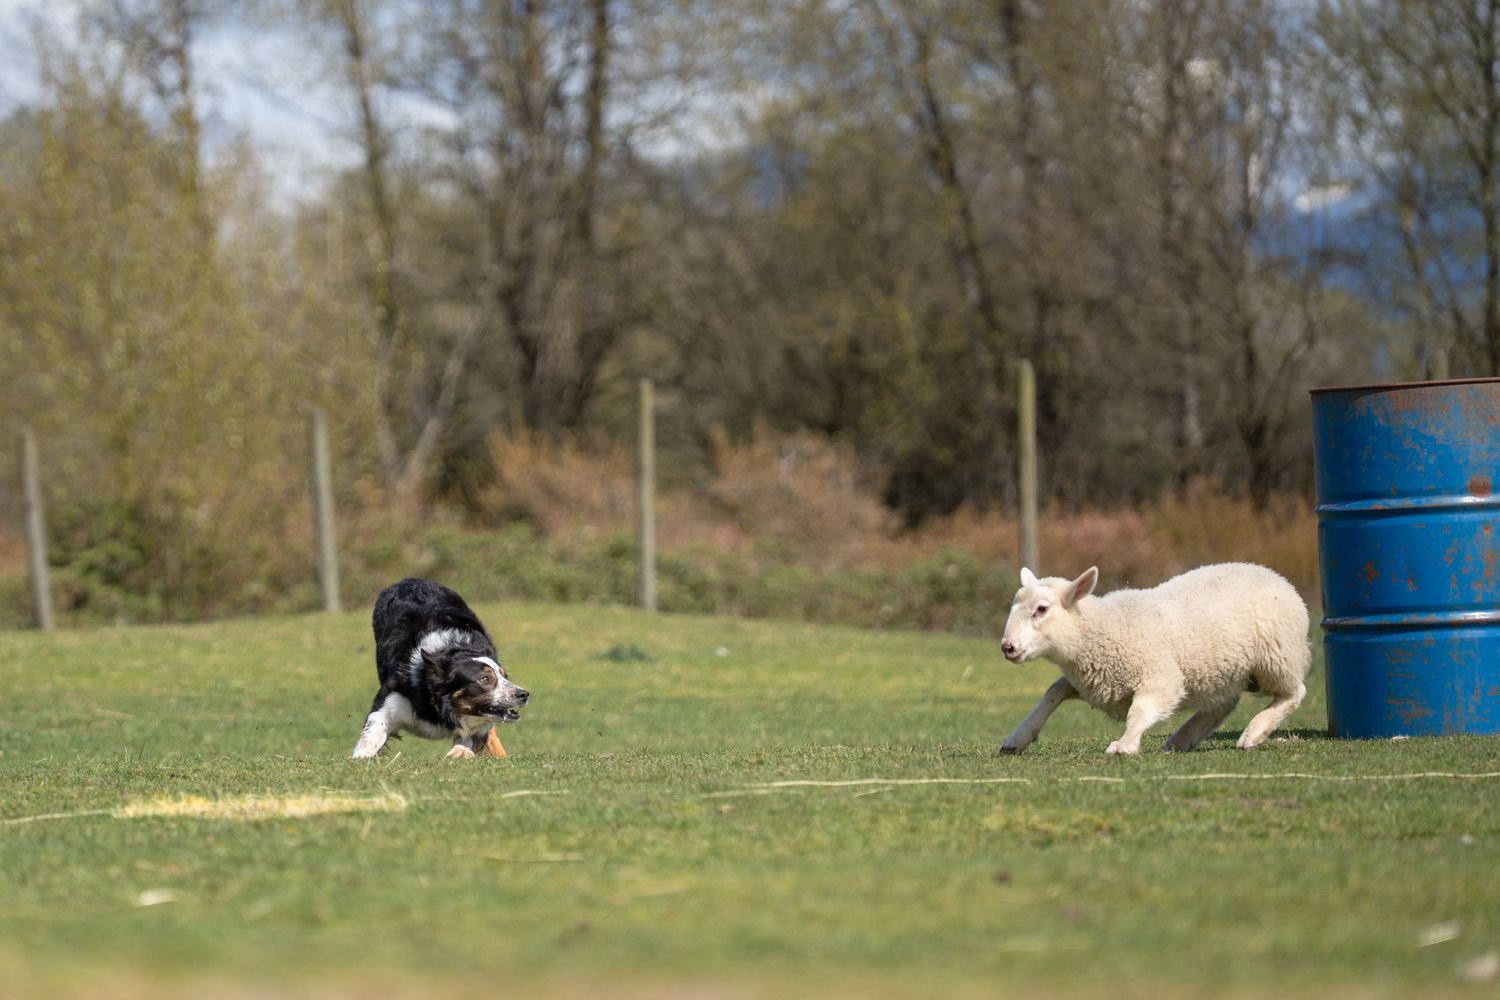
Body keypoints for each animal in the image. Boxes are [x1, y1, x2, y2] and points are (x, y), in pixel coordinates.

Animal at [997, 563, 1310, 755]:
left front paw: (1125, 745)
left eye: (1041, 609)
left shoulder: (1160, 677)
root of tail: (1277, 577)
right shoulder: (1095, 680)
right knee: (1222, 705)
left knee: (1294, 693)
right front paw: (1017, 738)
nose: (1007, 647)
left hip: (1277, 655)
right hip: (1220, 671)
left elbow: (1140, 711)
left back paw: (1254, 732)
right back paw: (1183, 738)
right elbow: (1053, 692)